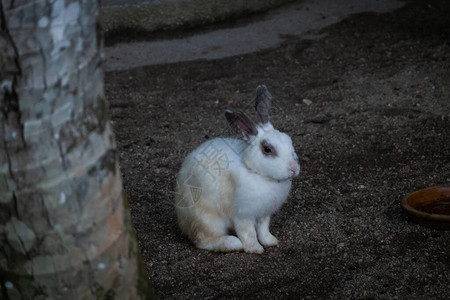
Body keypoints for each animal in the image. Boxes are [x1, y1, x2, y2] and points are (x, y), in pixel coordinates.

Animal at [175, 85, 298, 253]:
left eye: (289, 141)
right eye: (267, 149)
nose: (294, 169)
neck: (256, 171)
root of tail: (182, 220)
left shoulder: (264, 214)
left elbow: (263, 229)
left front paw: (270, 241)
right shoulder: (242, 215)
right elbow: (249, 232)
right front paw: (255, 249)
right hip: (207, 218)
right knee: (204, 240)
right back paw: (232, 243)